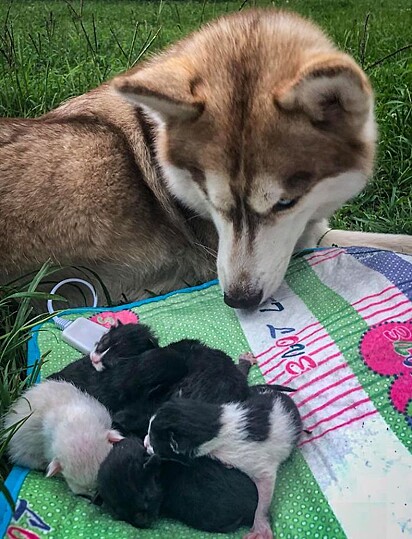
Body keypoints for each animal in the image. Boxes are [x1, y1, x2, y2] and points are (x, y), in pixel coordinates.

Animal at [0, 9, 408, 308]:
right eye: (212, 201)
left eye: (286, 203)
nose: (238, 300)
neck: (154, 139)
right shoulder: (300, 243)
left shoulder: (312, 229)